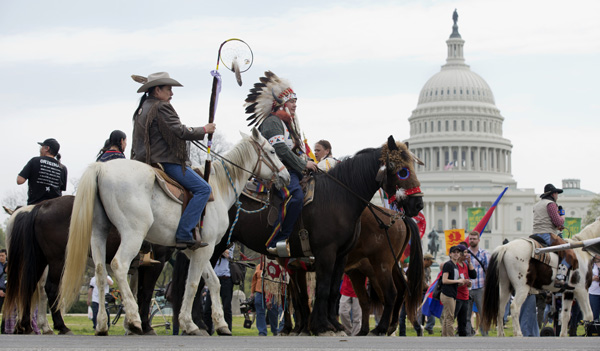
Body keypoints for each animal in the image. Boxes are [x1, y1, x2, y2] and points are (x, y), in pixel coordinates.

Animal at [3, 197, 173, 336]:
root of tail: (41, 206)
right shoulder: (155, 264)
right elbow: (145, 294)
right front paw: (145, 326)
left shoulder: (138, 268)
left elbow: (134, 293)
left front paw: (131, 326)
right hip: (57, 259)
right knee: (49, 289)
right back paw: (60, 326)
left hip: (39, 259)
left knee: (28, 287)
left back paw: (25, 326)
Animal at [58, 129, 288, 336]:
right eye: (271, 151)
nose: (285, 175)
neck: (219, 188)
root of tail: (101, 169)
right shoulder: (205, 249)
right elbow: (193, 284)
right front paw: (191, 324)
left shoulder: (195, 249)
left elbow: (211, 282)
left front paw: (219, 324)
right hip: (133, 235)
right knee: (118, 266)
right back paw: (133, 320)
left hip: (99, 233)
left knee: (99, 271)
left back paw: (102, 325)